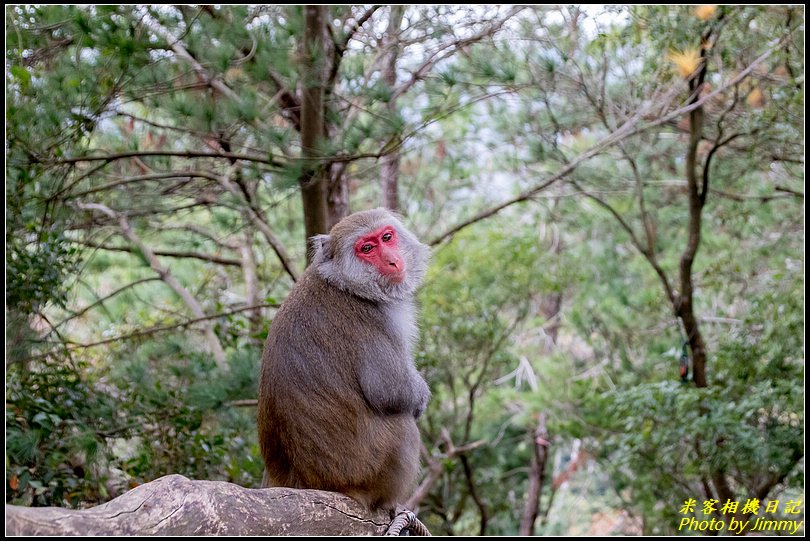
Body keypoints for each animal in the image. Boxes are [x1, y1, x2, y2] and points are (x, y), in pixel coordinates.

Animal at [258, 208, 432, 510]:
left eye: (387, 237)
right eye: (367, 249)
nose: (392, 260)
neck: (346, 284)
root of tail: (302, 482)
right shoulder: (373, 319)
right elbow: (389, 390)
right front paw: (420, 398)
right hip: (368, 471)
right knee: (403, 425)